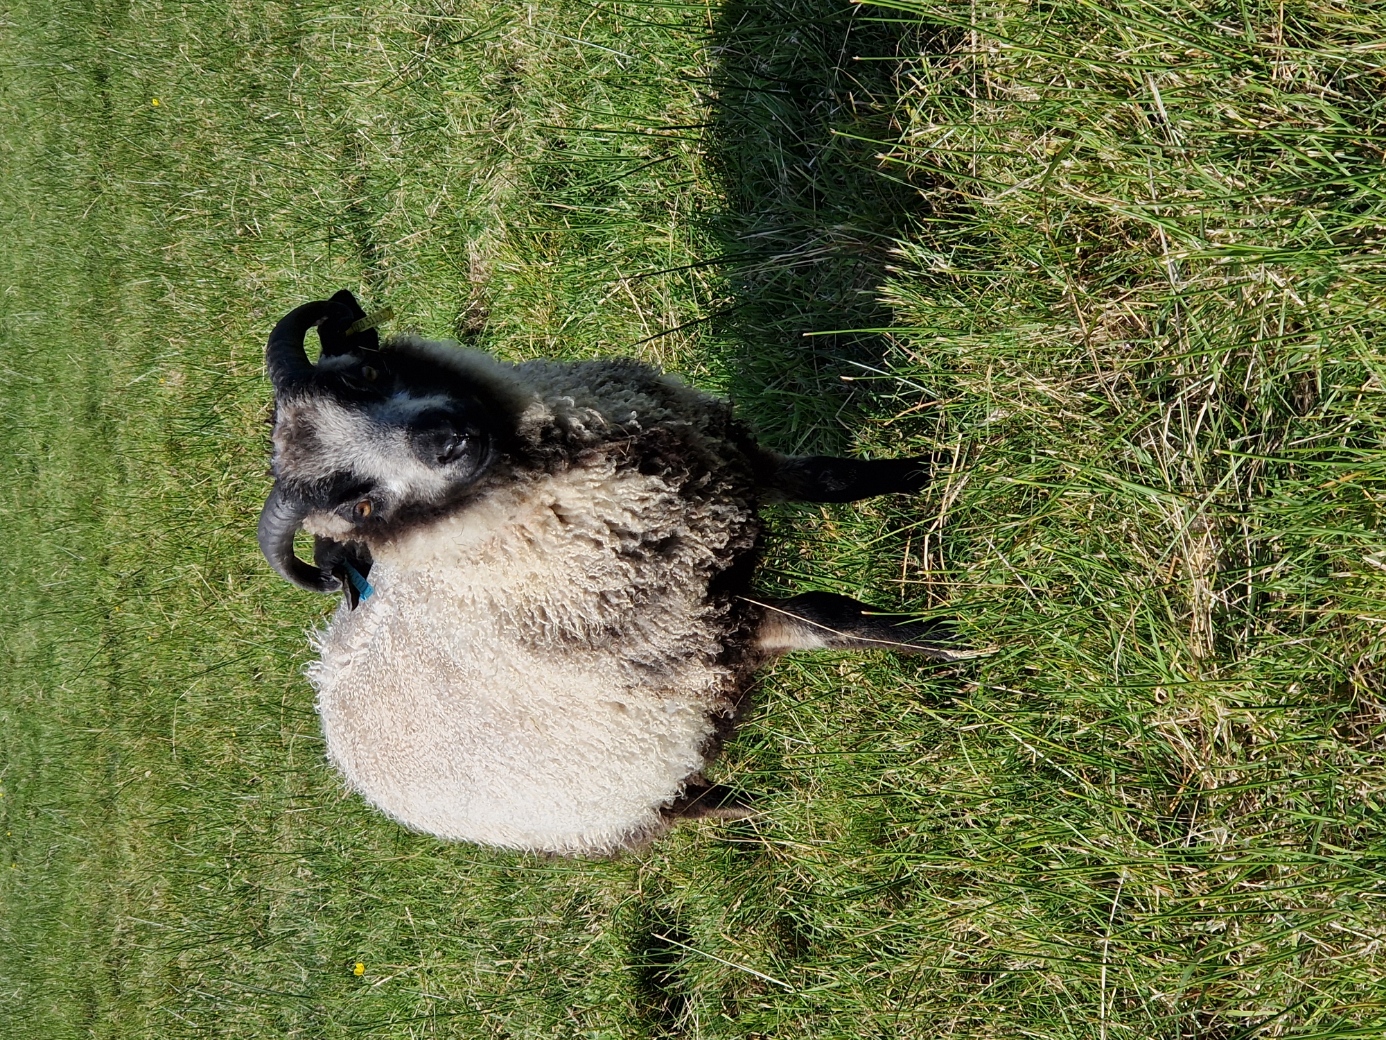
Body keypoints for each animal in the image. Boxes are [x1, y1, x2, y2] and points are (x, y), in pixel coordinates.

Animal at [260, 289, 964, 856]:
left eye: (365, 373)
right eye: (359, 507)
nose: (444, 438)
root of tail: (324, 687)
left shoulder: (732, 462)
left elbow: (831, 478)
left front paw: (932, 465)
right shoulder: (712, 633)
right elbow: (832, 618)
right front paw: (949, 642)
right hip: (608, 814)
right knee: (677, 806)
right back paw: (743, 807)